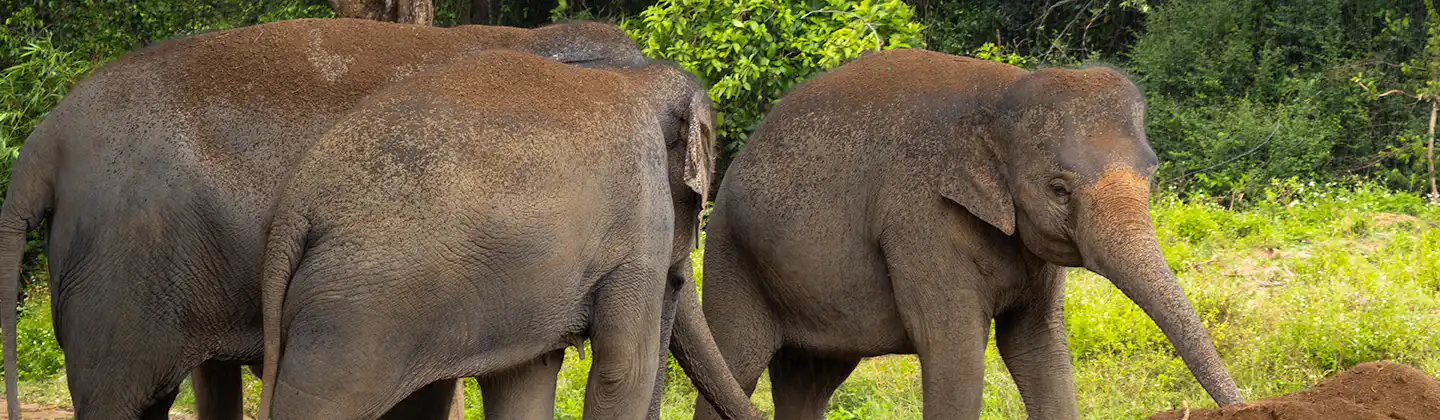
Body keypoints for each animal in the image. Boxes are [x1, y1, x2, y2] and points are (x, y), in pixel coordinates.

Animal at [252, 49, 747, 420]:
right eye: (697, 198)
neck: (637, 76)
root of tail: (296, 207)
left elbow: (527, 374)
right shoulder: (640, 219)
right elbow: (624, 369)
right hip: (353, 316)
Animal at [689, 48, 1245, 419]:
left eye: (1151, 174)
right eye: (1059, 189)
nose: (1242, 406)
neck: (1000, 97)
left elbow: (1038, 347)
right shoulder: (919, 219)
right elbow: (953, 349)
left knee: (809, 380)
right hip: (730, 256)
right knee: (736, 361)